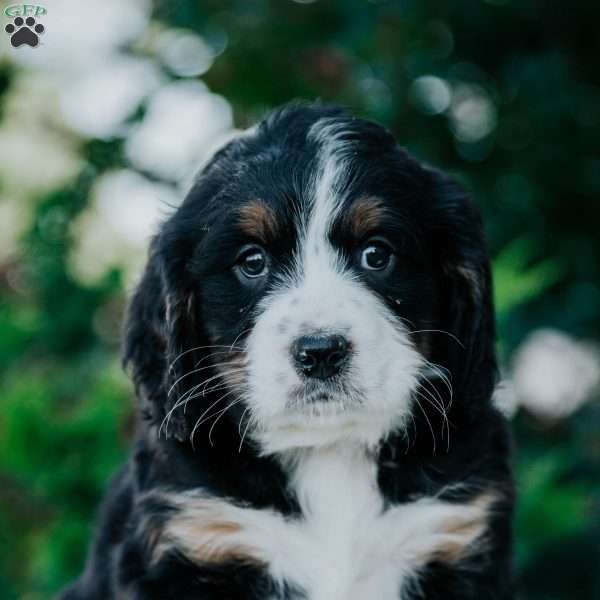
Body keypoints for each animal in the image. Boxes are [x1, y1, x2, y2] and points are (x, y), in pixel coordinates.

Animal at [59, 103, 510, 600]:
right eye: (252, 262)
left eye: (376, 254)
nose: (321, 351)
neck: (328, 449)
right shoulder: (193, 537)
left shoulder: (457, 538)